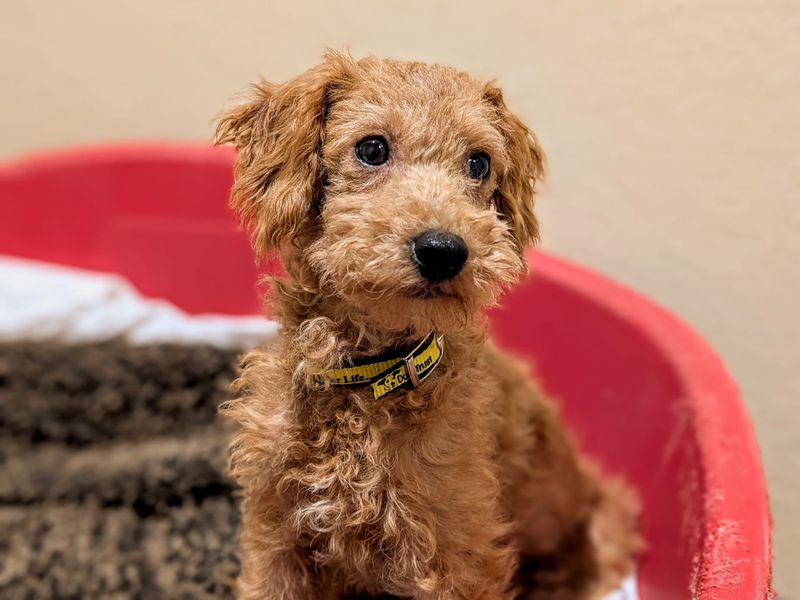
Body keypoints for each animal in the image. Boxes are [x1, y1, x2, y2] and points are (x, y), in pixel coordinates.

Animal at [216, 52, 640, 600]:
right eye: (372, 148)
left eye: (479, 163)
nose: (443, 251)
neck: (368, 381)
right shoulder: (277, 534)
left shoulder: (453, 558)